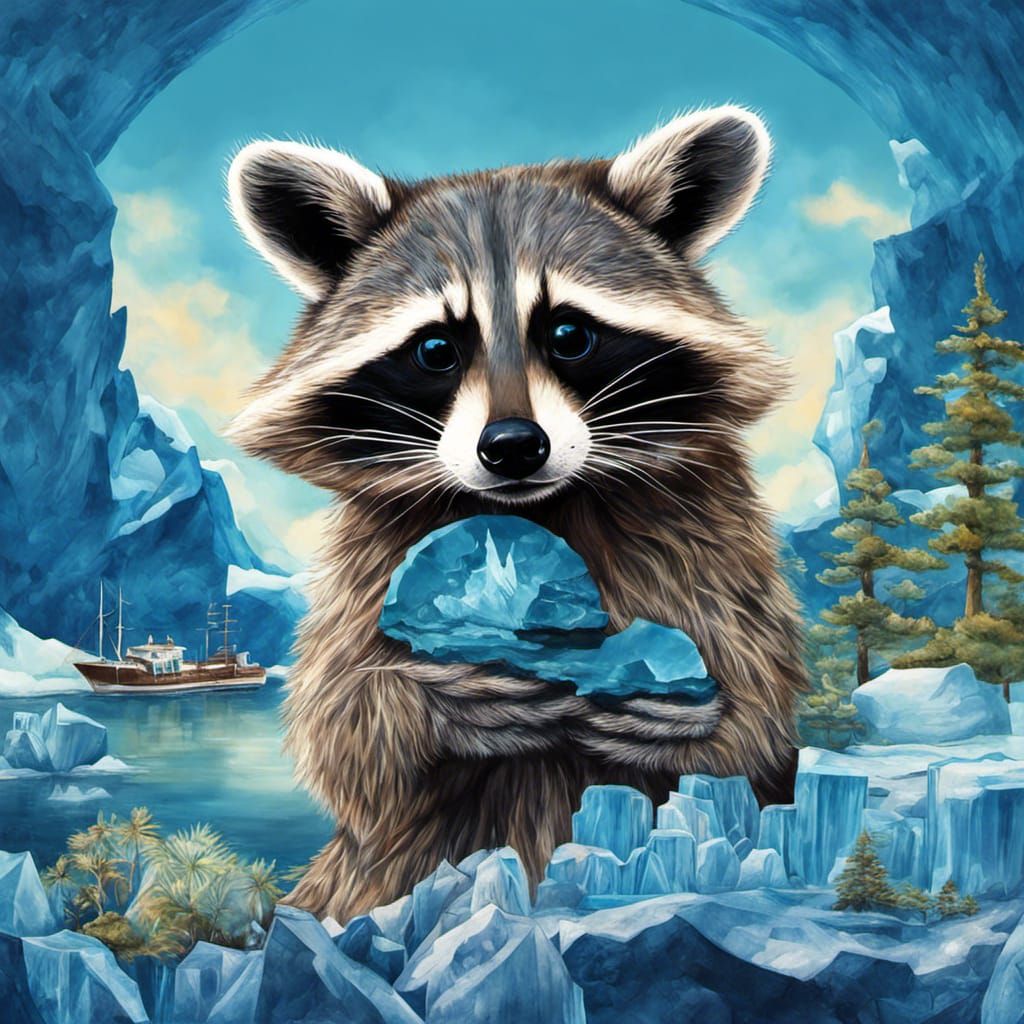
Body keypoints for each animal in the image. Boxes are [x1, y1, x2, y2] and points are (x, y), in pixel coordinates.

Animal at [227, 106, 805, 921]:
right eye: (436, 349)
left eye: (569, 335)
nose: (512, 447)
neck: (541, 507)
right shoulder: (371, 555)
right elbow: (341, 733)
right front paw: (412, 702)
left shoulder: (712, 532)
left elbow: (759, 709)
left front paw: (701, 714)